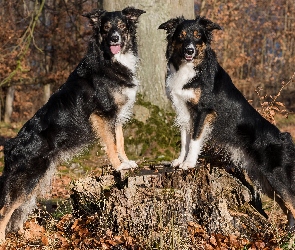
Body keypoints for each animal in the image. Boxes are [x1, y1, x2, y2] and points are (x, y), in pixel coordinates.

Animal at [0, 6, 146, 241]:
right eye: (106, 28)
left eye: (122, 26)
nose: (115, 38)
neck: (110, 60)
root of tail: (11, 146)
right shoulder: (102, 115)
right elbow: (111, 145)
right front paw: (118, 166)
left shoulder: (117, 115)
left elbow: (120, 141)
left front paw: (128, 162)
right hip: (27, 178)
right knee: (5, 210)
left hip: (38, 179)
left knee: (19, 211)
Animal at [160, 15, 295, 227]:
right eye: (181, 36)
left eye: (197, 36)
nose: (190, 50)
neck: (191, 68)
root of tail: (285, 137)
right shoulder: (183, 111)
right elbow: (184, 140)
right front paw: (179, 161)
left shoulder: (203, 111)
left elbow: (195, 140)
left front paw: (189, 163)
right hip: (264, 180)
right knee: (288, 208)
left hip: (277, 176)